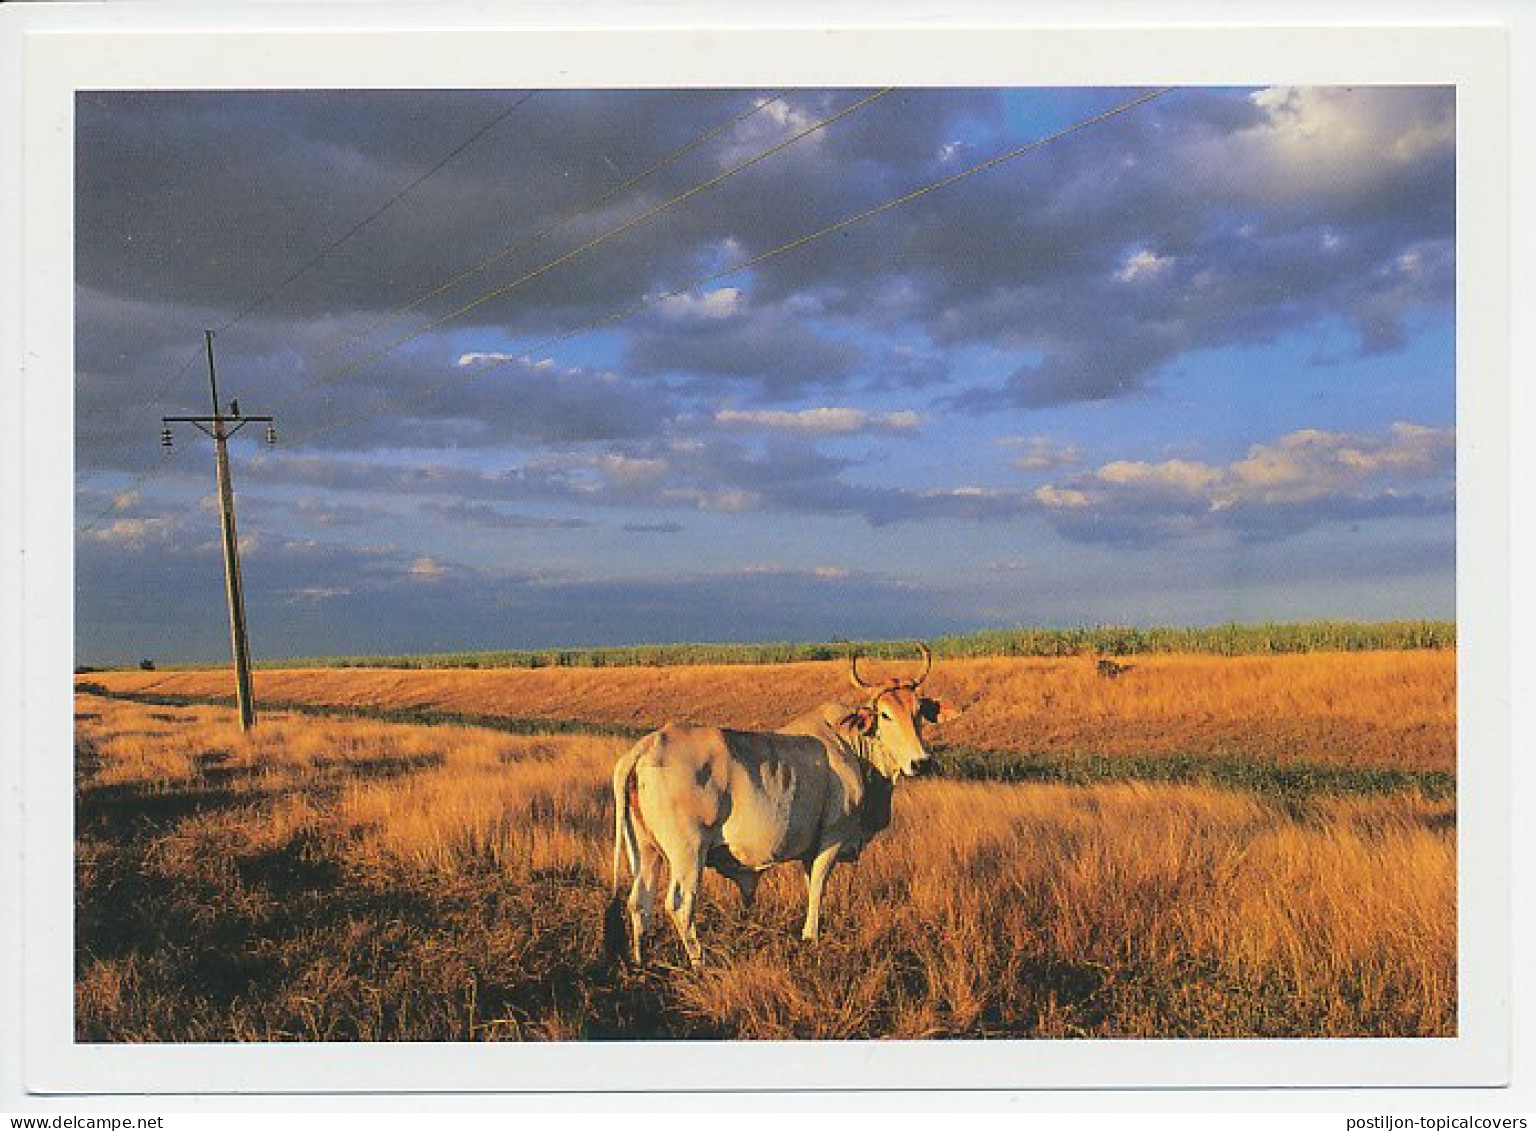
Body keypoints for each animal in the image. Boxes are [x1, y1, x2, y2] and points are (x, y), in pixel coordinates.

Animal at [602, 645, 952, 965]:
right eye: (885, 715)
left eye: (918, 713)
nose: (920, 762)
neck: (853, 745)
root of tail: (650, 743)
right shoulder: (832, 838)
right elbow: (818, 888)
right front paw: (810, 937)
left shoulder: (810, 850)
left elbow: (811, 885)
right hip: (688, 853)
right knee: (679, 905)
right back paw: (700, 963)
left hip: (646, 850)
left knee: (640, 902)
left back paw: (640, 962)